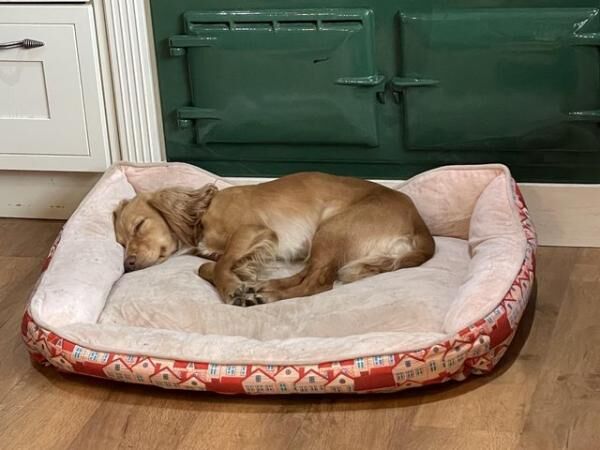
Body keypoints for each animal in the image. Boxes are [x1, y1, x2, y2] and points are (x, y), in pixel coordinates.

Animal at [112, 172, 434, 306]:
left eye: (139, 225)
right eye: (121, 241)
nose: (128, 264)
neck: (203, 213)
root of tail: (421, 226)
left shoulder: (253, 230)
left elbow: (220, 264)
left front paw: (232, 288)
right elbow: (207, 266)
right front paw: (242, 277)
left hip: (332, 228)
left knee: (317, 282)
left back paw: (268, 295)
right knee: (308, 275)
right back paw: (263, 288)